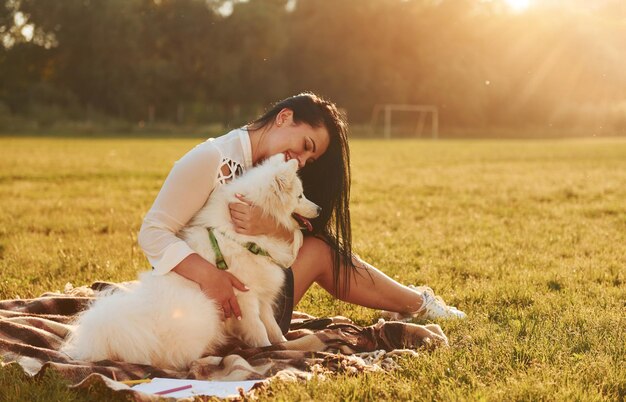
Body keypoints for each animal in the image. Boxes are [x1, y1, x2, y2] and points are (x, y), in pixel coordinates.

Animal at [61, 154, 320, 370]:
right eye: (300, 196)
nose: (318, 208)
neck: (241, 237)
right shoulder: (245, 298)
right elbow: (259, 329)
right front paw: (266, 349)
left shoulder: (262, 296)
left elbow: (272, 326)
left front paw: (282, 343)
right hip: (205, 312)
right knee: (179, 361)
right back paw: (211, 358)